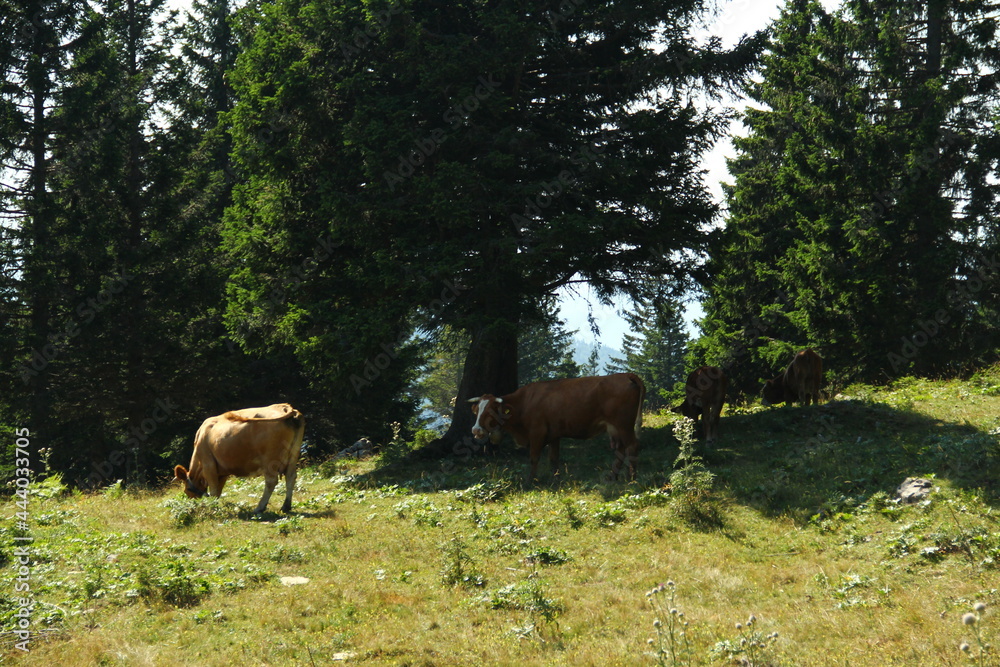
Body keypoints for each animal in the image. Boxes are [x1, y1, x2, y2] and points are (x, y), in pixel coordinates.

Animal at [173, 403, 305, 514]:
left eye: (187, 490)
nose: (193, 503)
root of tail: (285, 407)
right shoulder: (222, 471)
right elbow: (218, 491)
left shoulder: (208, 465)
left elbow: (214, 490)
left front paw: (213, 507)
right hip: (293, 455)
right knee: (291, 477)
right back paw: (286, 506)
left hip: (269, 460)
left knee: (271, 481)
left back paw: (260, 507)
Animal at [467, 373, 646, 482]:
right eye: (476, 411)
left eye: (490, 412)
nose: (475, 430)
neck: (525, 402)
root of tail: (625, 375)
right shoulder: (554, 434)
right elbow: (554, 459)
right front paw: (556, 479)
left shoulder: (537, 433)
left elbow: (534, 458)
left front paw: (530, 481)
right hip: (616, 428)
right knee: (621, 450)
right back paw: (613, 477)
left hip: (623, 425)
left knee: (632, 446)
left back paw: (632, 478)